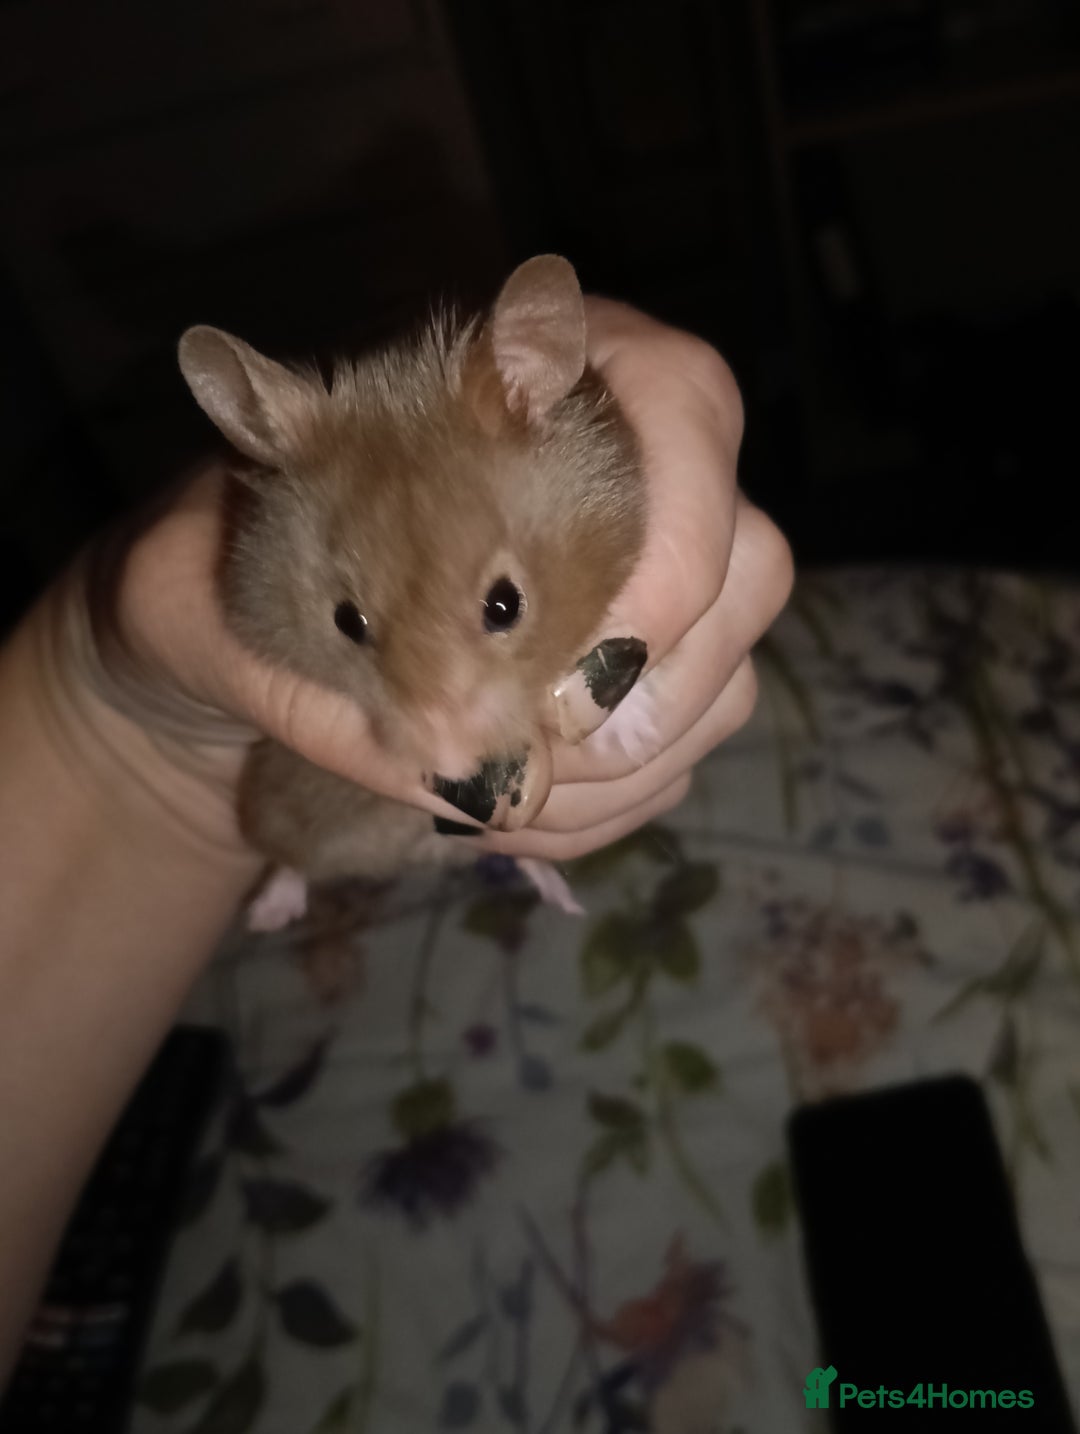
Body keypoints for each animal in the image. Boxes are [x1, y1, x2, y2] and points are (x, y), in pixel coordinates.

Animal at [177, 255, 647, 930]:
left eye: (506, 605)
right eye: (346, 621)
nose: (450, 769)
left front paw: (634, 733)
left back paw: (563, 898)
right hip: (276, 802)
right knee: (292, 860)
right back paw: (266, 914)